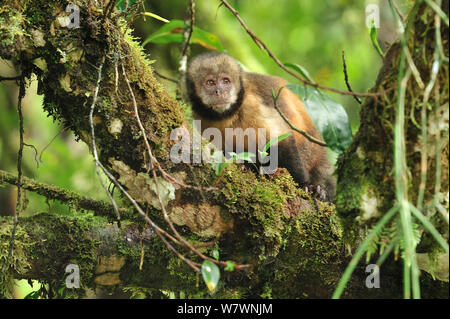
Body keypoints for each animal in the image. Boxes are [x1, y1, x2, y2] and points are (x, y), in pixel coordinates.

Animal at [185, 52, 336, 202]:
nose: (219, 91)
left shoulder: (251, 104)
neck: (227, 115)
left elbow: (282, 139)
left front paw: (304, 185)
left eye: (225, 81)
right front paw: (243, 164)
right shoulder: (202, 119)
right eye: (210, 83)